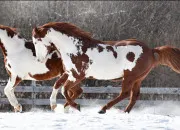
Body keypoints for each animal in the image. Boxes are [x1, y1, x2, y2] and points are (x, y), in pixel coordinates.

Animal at [32, 22, 180, 114]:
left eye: (36, 40)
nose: (39, 59)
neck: (74, 48)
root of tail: (151, 51)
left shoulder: (78, 75)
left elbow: (64, 89)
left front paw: (75, 106)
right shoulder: (69, 73)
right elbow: (57, 85)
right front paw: (54, 105)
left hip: (130, 77)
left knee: (125, 93)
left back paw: (103, 109)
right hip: (138, 79)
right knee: (134, 96)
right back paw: (124, 112)